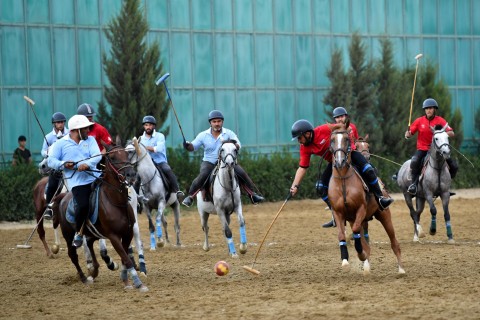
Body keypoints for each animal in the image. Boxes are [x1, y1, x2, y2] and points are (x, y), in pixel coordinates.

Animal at [56, 142, 147, 290]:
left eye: (127, 154)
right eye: (113, 157)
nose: (131, 174)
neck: (116, 202)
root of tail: (64, 197)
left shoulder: (127, 233)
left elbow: (125, 258)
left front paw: (126, 280)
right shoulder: (113, 236)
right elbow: (126, 259)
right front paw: (137, 283)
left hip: (92, 232)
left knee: (89, 242)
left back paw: (95, 270)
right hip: (68, 234)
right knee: (73, 254)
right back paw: (84, 277)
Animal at [328, 125, 404, 276]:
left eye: (347, 139)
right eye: (332, 140)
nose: (339, 161)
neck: (343, 180)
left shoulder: (361, 209)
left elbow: (357, 234)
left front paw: (361, 255)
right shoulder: (339, 213)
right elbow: (342, 235)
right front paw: (345, 260)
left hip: (384, 215)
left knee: (394, 242)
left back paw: (401, 269)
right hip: (357, 219)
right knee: (362, 239)